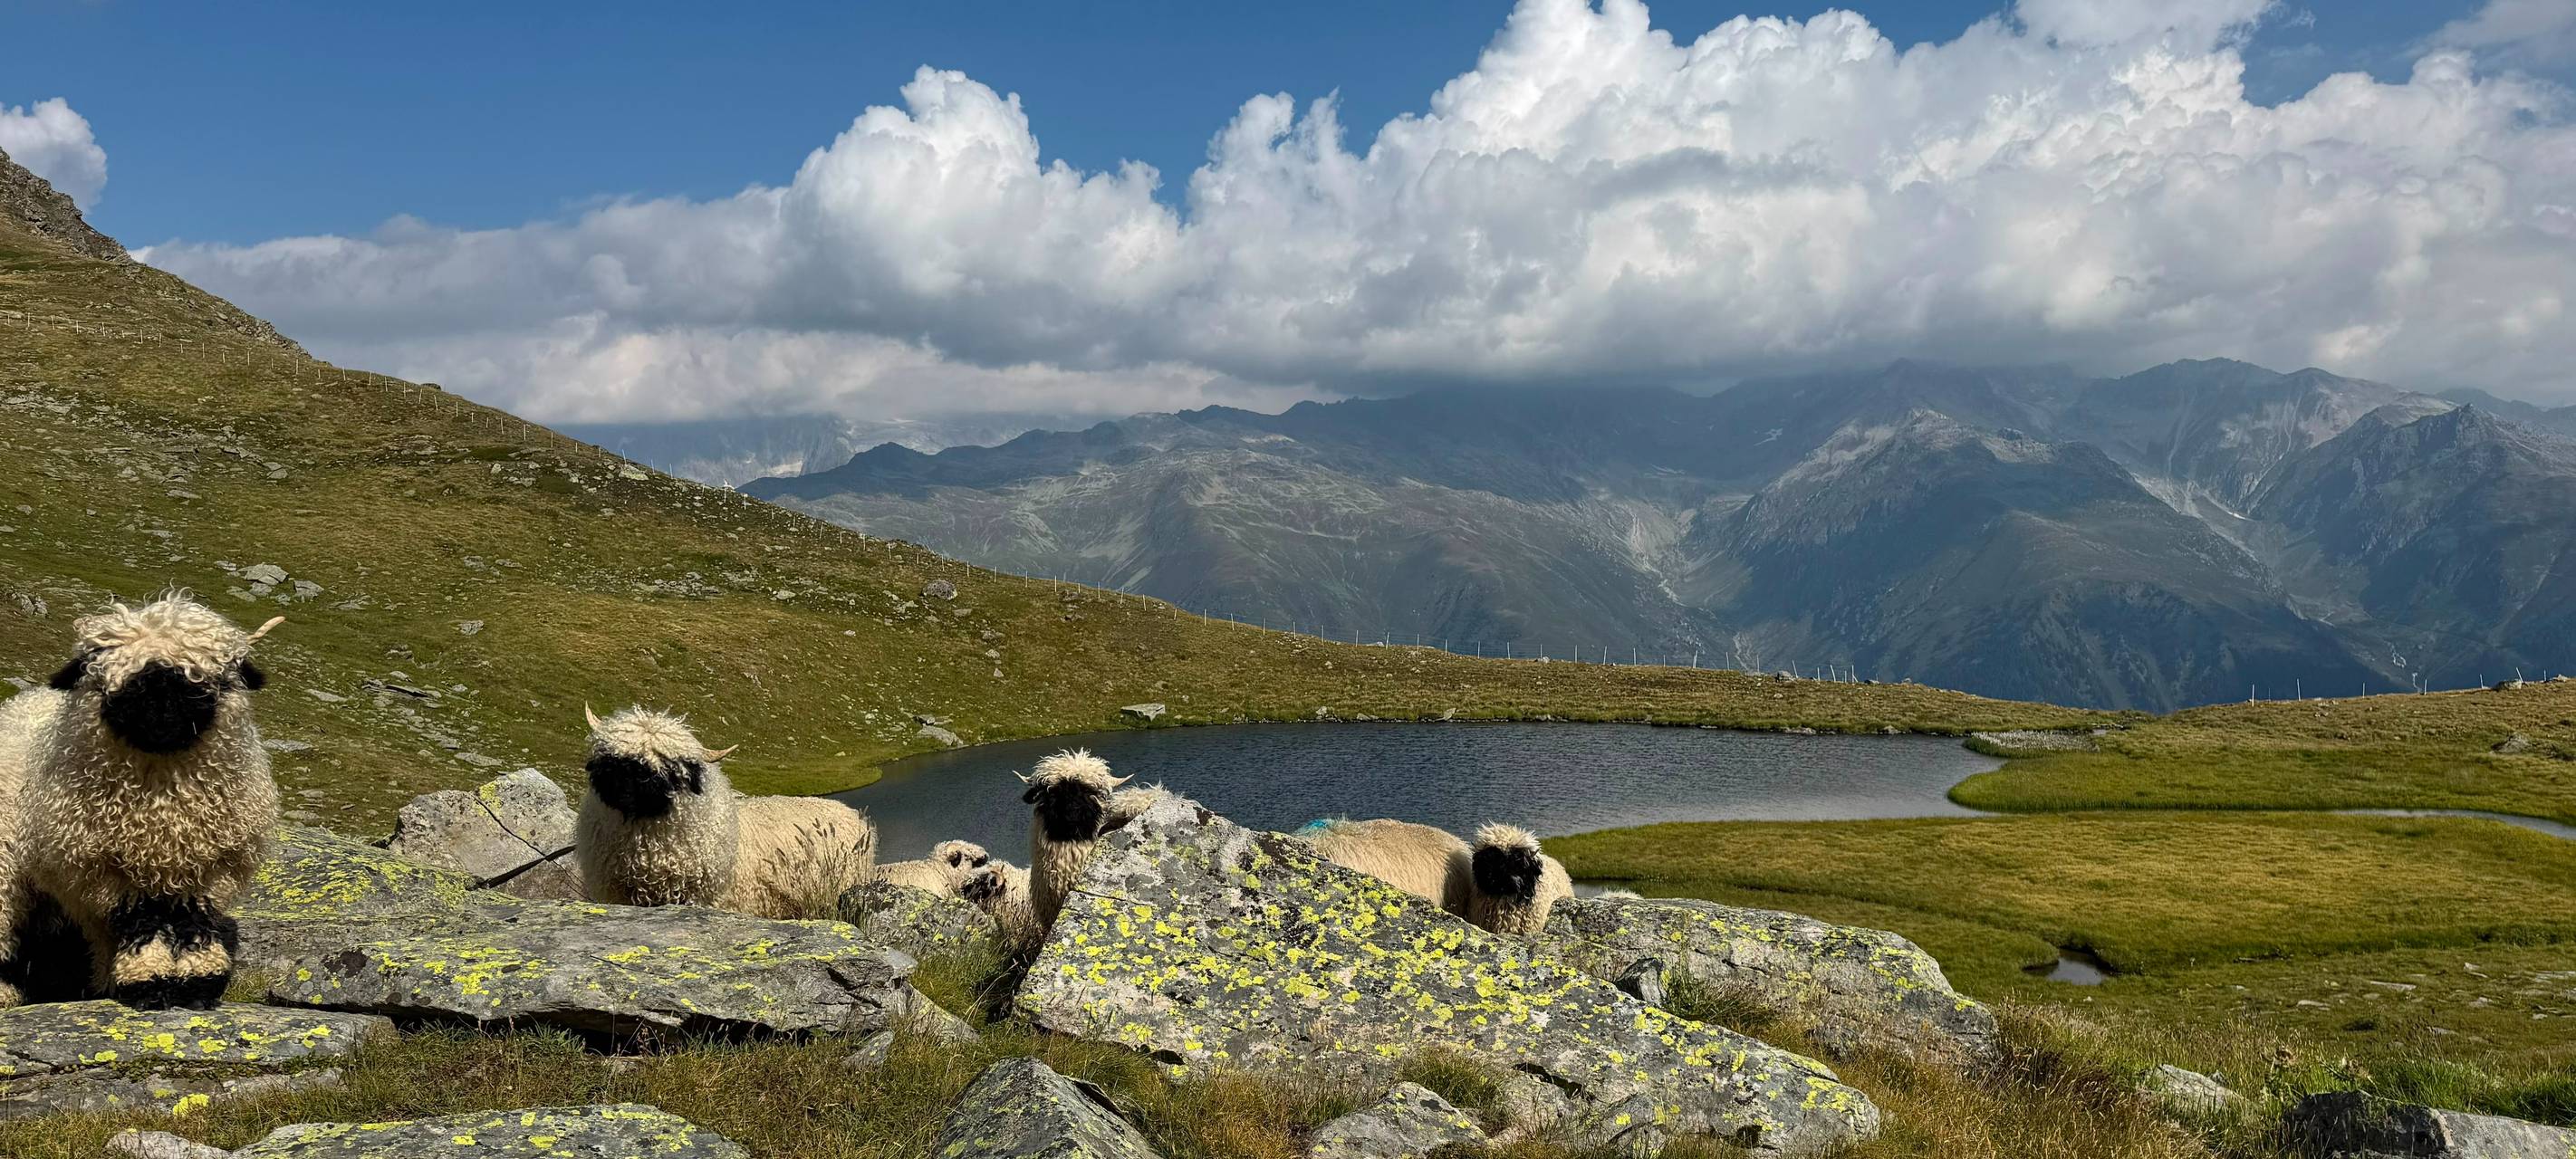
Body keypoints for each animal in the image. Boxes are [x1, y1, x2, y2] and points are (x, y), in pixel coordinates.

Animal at [10, 596, 284, 1008]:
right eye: (118, 683)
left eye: (201, 681)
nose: (160, 718)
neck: (162, 805)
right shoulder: (108, 869)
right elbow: (140, 923)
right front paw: (147, 983)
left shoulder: (211, 866)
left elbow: (195, 921)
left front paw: (199, 983)